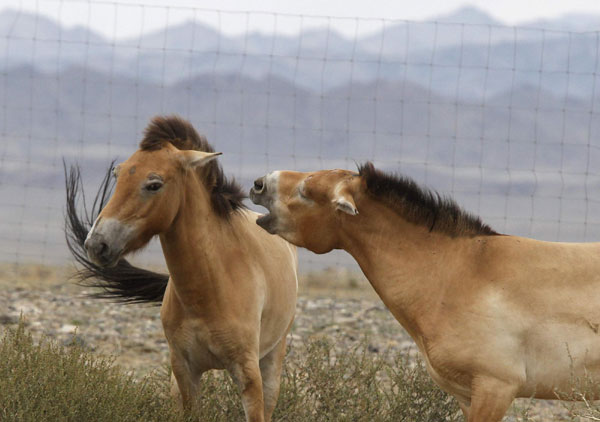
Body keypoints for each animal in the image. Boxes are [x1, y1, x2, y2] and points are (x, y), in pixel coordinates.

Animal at [65, 115, 298, 422]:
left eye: (154, 184)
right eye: (118, 174)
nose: (97, 244)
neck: (211, 287)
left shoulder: (248, 375)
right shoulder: (184, 372)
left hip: (272, 359)